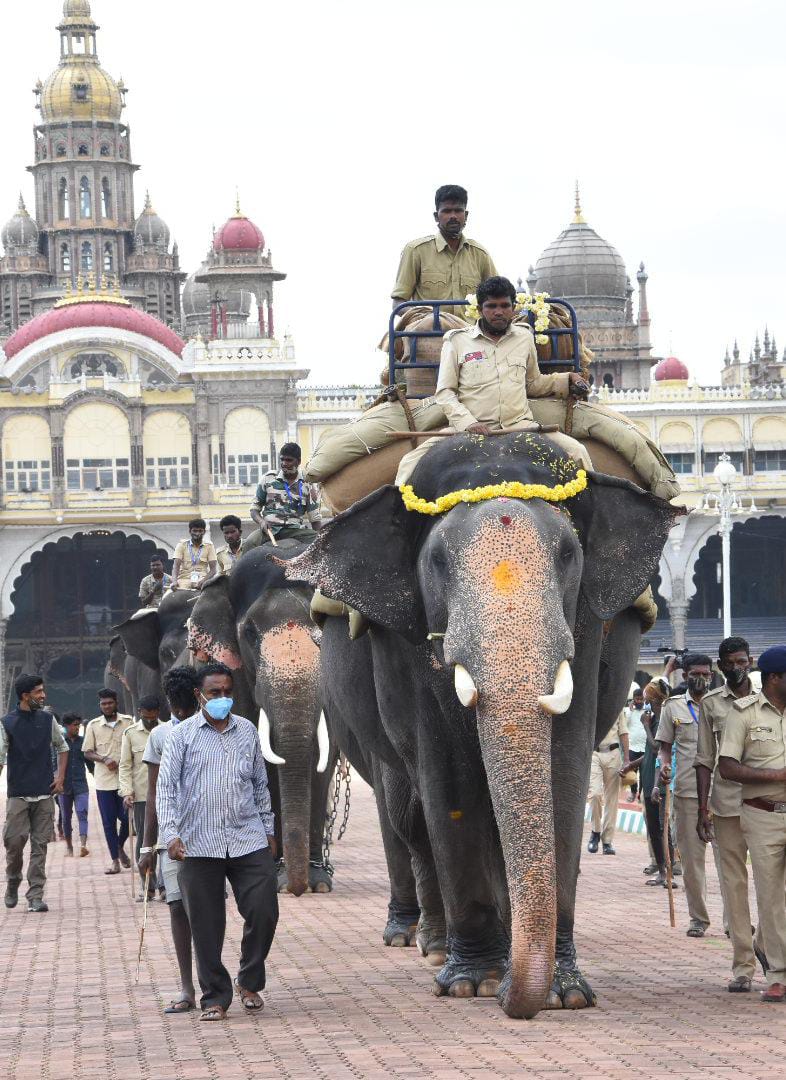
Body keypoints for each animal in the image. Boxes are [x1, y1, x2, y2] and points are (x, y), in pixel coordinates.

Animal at [187, 544, 341, 898]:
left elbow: (323, 760)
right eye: (249, 633)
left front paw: (317, 882)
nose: (296, 890)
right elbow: (259, 763)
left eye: (325, 623)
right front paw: (277, 875)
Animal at [285, 432, 682, 1019]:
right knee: (408, 816)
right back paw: (430, 944)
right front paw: (474, 984)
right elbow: (447, 776)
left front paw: (563, 993)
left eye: (569, 554)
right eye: (436, 561)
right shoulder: (406, 641)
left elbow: (564, 767)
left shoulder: (587, 627)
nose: (515, 1002)